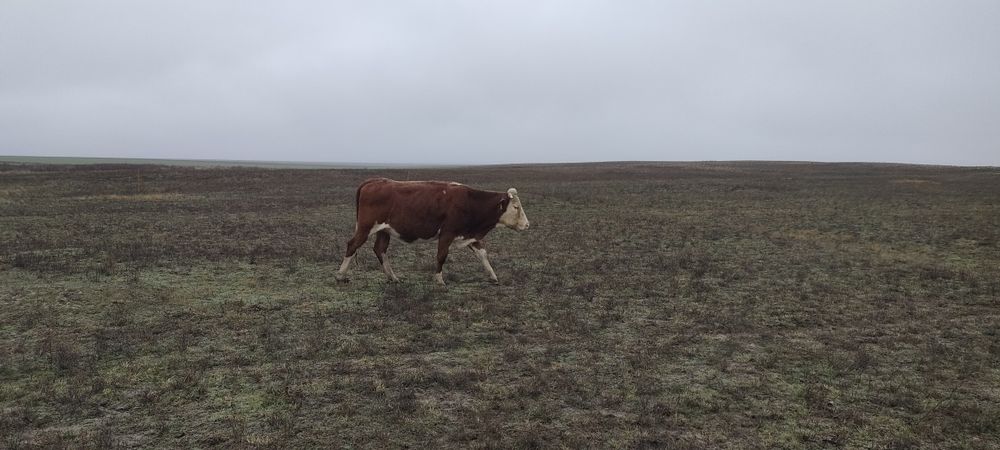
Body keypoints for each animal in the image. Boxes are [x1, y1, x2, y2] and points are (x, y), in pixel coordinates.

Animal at [336, 178, 530, 285]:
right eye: (516, 206)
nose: (527, 225)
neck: (469, 202)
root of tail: (373, 181)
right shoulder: (447, 234)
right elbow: (441, 256)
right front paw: (439, 280)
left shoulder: (470, 235)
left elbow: (482, 254)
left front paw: (493, 276)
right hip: (365, 227)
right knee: (352, 245)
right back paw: (340, 275)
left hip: (384, 230)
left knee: (380, 249)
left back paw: (393, 277)